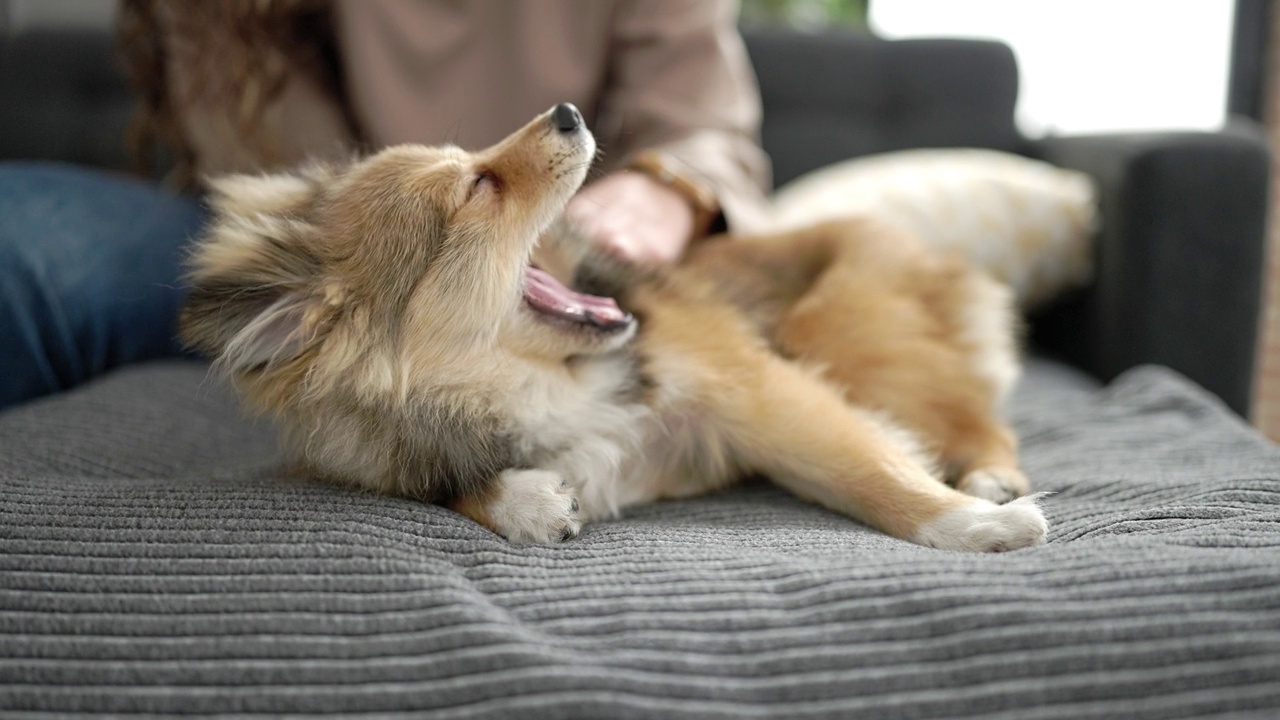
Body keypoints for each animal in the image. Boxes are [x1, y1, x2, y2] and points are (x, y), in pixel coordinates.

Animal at [180, 102, 1049, 548]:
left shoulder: (756, 389)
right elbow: (452, 487)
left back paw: (990, 480)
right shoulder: (390, 459)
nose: (567, 111)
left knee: (973, 411)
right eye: (475, 188)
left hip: (842, 330)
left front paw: (973, 526)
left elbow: (867, 468)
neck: (531, 379)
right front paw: (527, 502)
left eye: (473, 159)